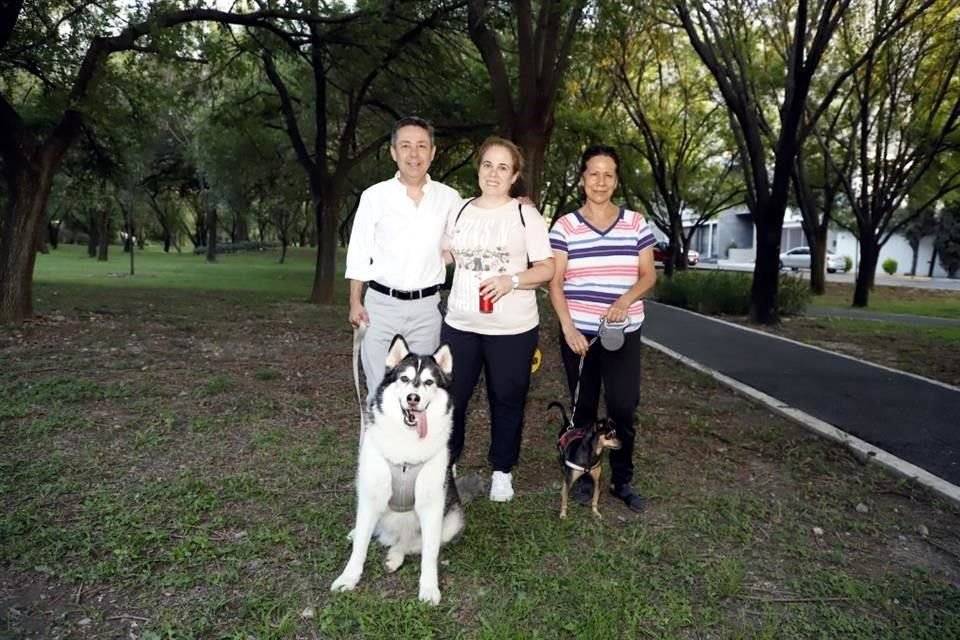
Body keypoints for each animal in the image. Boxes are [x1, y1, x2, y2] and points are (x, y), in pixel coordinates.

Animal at [332, 336, 464, 604]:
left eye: (429, 382)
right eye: (404, 378)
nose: (413, 398)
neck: (406, 450)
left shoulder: (432, 506)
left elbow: (429, 553)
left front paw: (429, 587)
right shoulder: (371, 495)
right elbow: (360, 545)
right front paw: (349, 577)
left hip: (453, 520)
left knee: (413, 542)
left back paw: (395, 554)